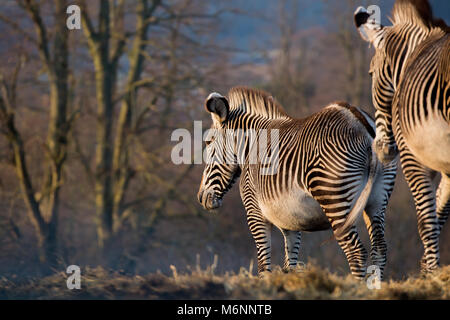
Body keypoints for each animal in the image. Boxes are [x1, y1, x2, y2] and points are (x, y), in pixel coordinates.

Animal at [197, 86, 398, 278]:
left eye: (208, 143)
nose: (201, 198)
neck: (251, 146)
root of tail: (360, 121)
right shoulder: (291, 222)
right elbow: (289, 265)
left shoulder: (255, 212)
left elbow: (263, 265)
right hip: (377, 200)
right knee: (380, 249)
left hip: (334, 197)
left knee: (356, 252)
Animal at [356, 0, 448, 274]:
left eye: (370, 73)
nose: (381, 149)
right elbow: (440, 212)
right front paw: (428, 269)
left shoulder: (413, 157)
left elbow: (428, 220)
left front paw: (430, 273)